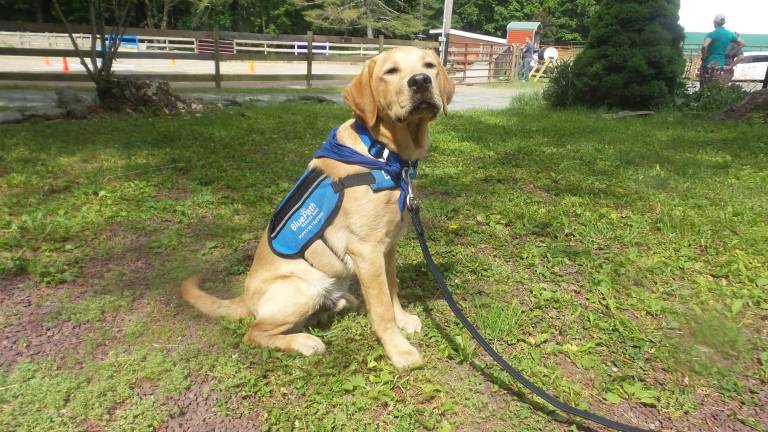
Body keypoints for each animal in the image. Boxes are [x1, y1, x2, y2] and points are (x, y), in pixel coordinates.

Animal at [182, 47, 452, 372]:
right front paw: (398, 349)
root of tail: (245, 298)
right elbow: (382, 308)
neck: (384, 154)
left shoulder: (387, 247)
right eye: (390, 71)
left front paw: (403, 319)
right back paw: (304, 342)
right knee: (254, 332)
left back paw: (339, 305)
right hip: (303, 287)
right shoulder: (367, 251)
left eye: (430, 65)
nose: (421, 81)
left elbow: (392, 289)